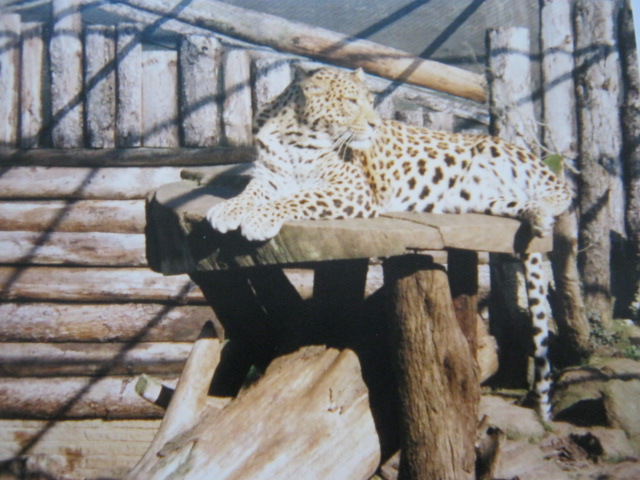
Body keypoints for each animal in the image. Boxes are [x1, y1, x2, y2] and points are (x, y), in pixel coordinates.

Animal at [207, 66, 572, 420]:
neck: (295, 136)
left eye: (370, 101)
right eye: (351, 101)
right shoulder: (268, 177)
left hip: (498, 154)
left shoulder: (350, 190)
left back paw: (544, 212)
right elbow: (251, 192)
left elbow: (298, 198)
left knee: (562, 189)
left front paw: (258, 218)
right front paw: (227, 210)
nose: (374, 124)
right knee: (521, 202)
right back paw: (534, 215)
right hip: (483, 199)